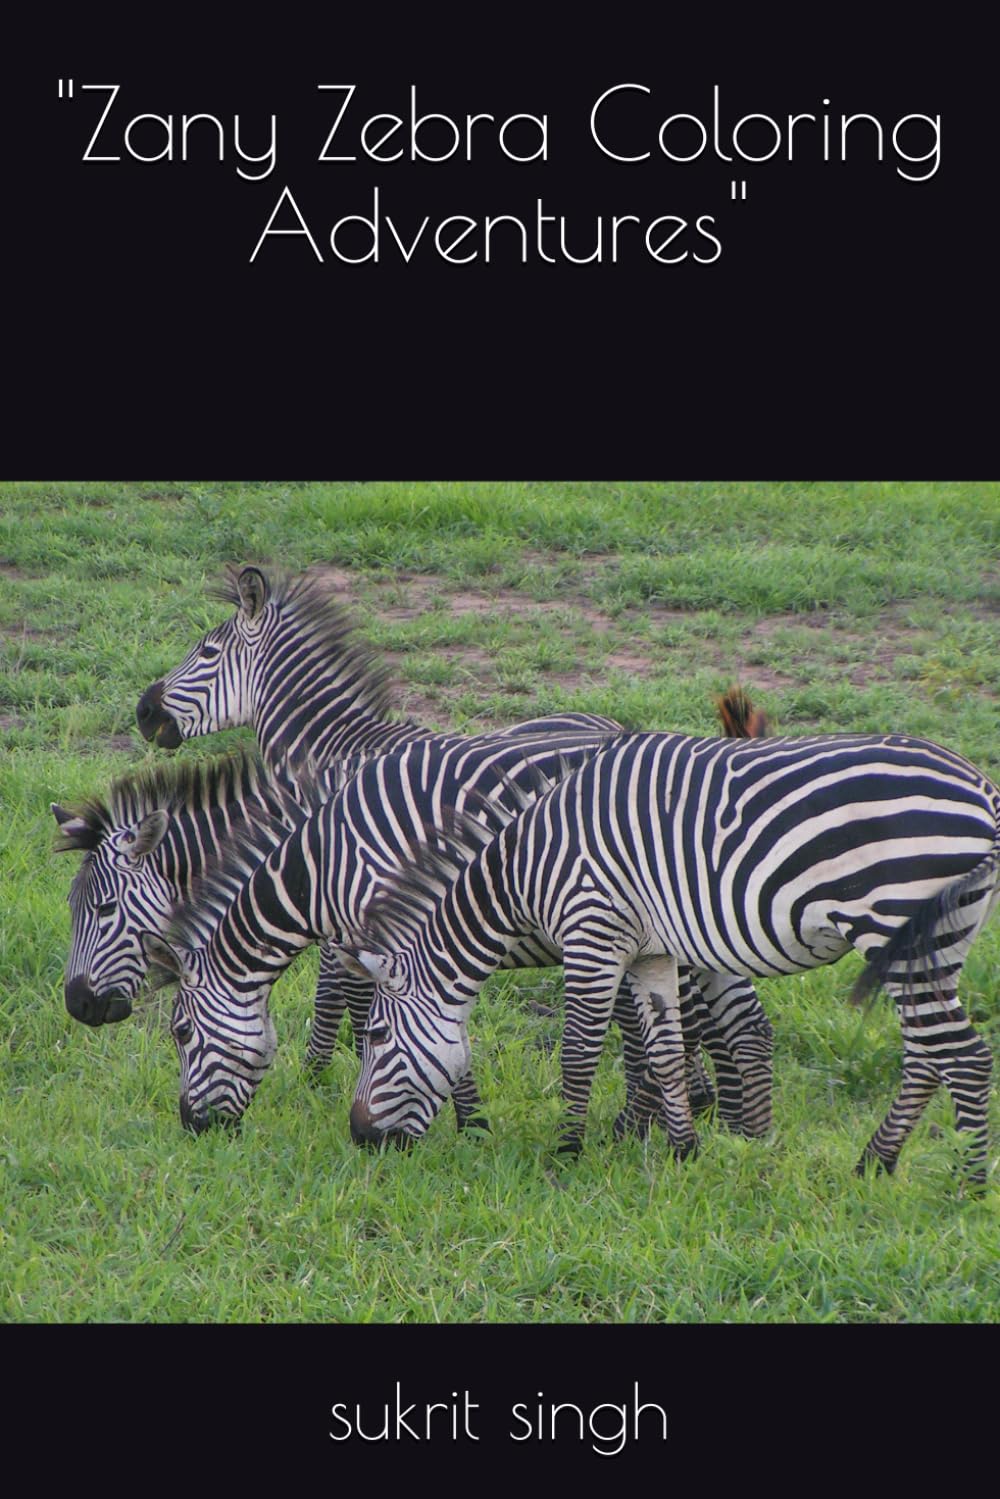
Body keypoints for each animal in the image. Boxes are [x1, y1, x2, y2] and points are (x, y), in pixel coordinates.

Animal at [144, 732, 776, 1140]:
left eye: (180, 1032)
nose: (193, 1128)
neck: (327, 863)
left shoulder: (391, 934)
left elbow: (400, 1024)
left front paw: (466, 1122)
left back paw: (667, 1125)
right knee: (736, 1020)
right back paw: (736, 1126)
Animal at [341, 730, 999, 1186]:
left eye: (375, 1036)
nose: (359, 1138)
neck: (525, 868)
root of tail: (981, 787)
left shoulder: (592, 931)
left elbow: (579, 1052)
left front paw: (567, 1153)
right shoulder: (650, 952)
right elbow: (664, 1051)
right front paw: (684, 1151)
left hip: (896, 920)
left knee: (963, 1056)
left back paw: (965, 1186)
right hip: (939, 937)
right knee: (927, 1055)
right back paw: (874, 1163)